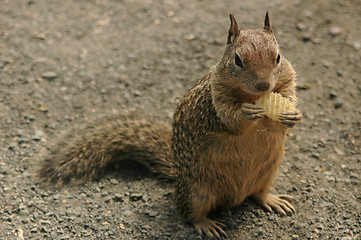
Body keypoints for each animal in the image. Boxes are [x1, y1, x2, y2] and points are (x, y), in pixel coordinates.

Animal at [39, 12, 300, 238]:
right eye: (238, 60)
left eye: (278, 57)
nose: (264, 85)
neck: (253, 96)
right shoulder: (215, 99)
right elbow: (229, 119)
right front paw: (246, 112)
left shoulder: (287, 80)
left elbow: (285, 108)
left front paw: (293, 115)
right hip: (197, 191)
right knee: (188, 213)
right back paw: (206, 224)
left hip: (267, 173)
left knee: (258, 193)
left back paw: (272, 200)